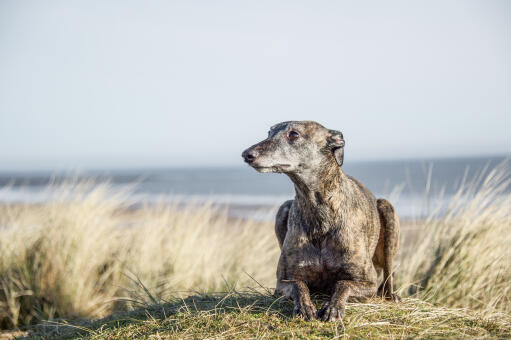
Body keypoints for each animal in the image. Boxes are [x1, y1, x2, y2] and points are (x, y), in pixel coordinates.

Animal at [242, 121, 402, 322]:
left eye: (294, 134)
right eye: (269, 132)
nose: (247, 154)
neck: (319, 211)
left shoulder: (367, 282)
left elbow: (343, 284)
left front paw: (332, 307)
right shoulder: (284, 280)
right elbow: (299, 285)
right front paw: (304, 307)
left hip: (387, 211)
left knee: (387, 277)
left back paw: (392, 296)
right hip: (283, 209)